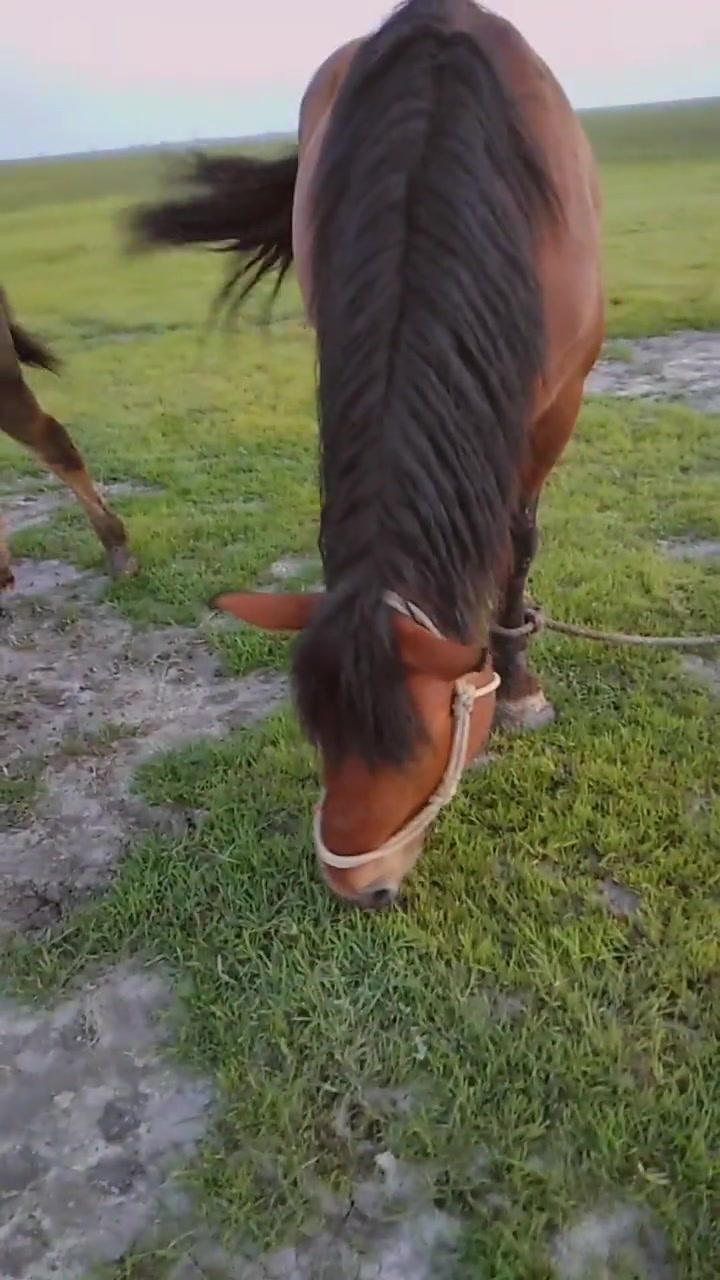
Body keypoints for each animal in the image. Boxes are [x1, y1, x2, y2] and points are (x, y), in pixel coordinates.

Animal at [128, 0, 604, 910]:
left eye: (418, 747)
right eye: (316, 734)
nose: (357, 888)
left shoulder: (559, 399)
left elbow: (518, 541)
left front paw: (519, 685)